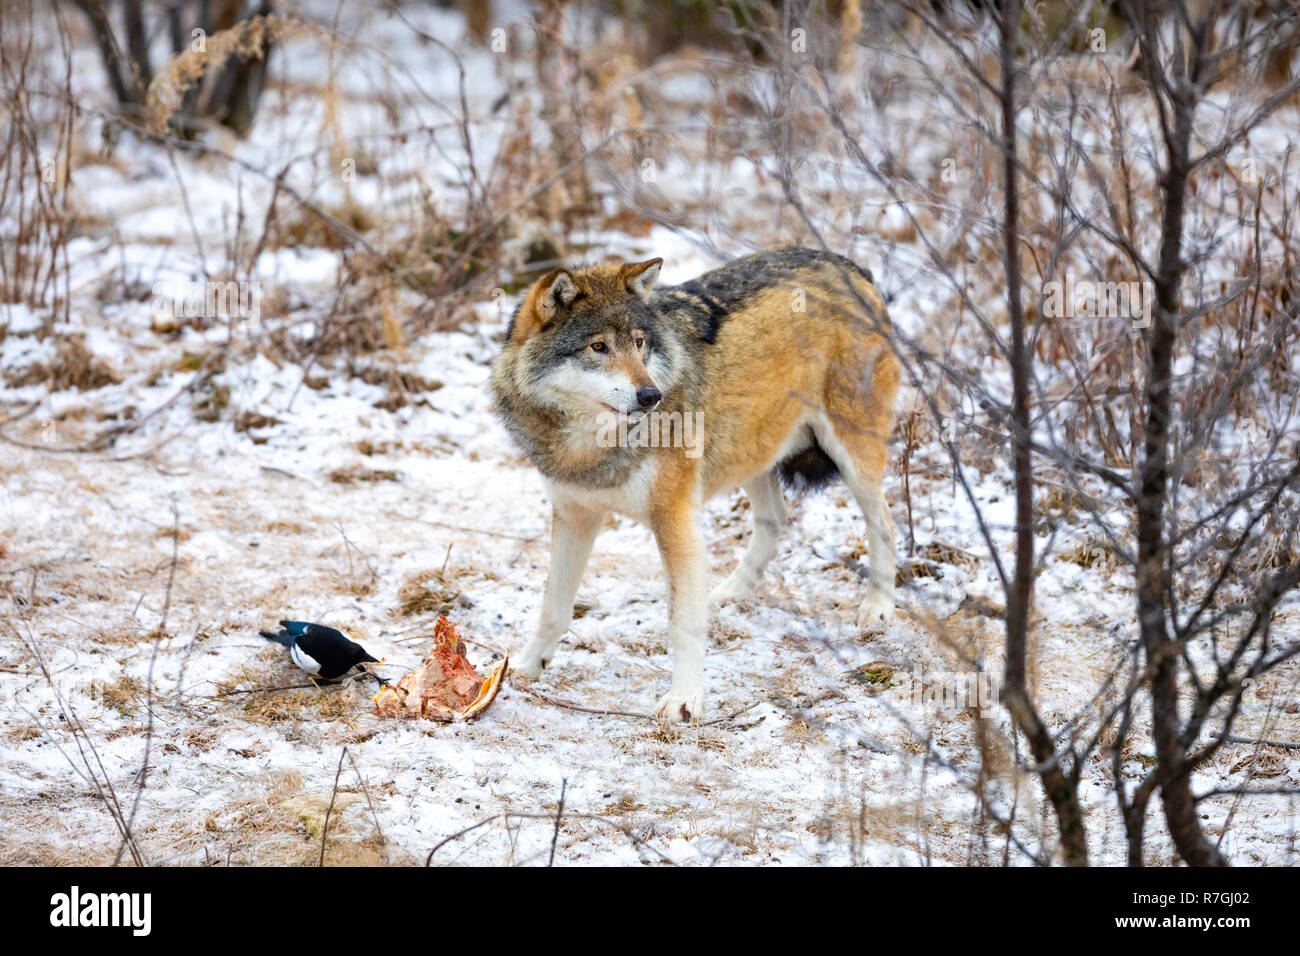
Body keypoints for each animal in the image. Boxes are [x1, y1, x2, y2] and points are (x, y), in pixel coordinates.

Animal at [490, 247, 900, 722]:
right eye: (598, 346)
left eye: (639, 343)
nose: (652, 396)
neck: (589, 444)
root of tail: (849, 263)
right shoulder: (575, 515)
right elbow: (553, 605)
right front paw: (525, 666)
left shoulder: (675, 518)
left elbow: (682, 622)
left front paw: (685, 701)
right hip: (750, 453)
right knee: (776, 519)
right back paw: (731, 591)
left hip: (851, 456)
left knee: (884, 523)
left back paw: (879, 607)